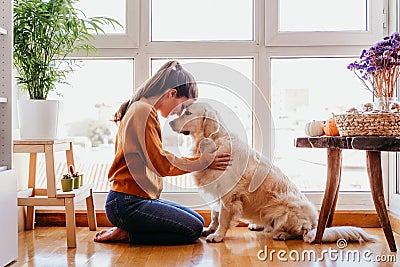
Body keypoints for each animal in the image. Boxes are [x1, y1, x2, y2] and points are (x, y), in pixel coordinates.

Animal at [169, 102, 376, 245]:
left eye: (188, 113)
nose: (169, 121)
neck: (211, 141)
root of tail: (315, 224)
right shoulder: (217, 190)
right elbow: (214, 214)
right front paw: (209, 229)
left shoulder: (229, 195)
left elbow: (223, 218)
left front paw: (217, 235)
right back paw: (259, 225)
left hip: (285, 208)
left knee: (300, 233)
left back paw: (281, 234)